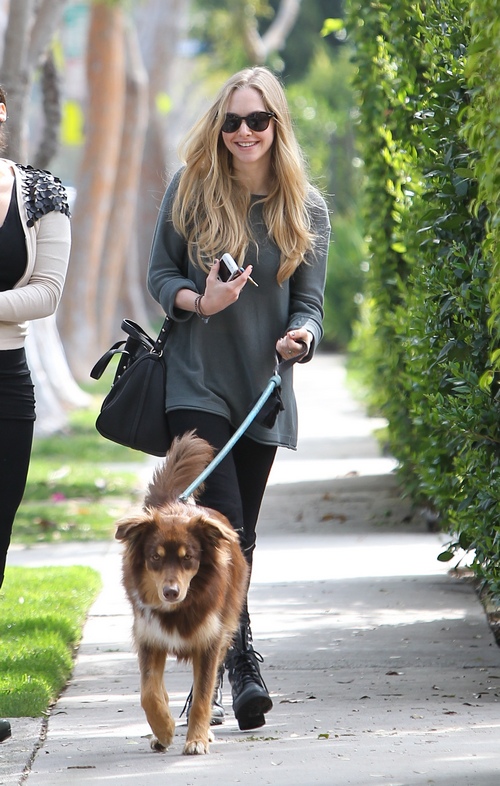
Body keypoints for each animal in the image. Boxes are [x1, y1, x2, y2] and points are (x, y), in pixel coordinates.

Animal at [117, 432, 250, 756]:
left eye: (188, 558)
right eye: (155, 557)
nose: (170, 591)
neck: (180, 608)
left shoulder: (210, 642)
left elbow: (202, 696)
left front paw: (196, 739)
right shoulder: (149, 637)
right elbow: (149, 693)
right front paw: (163, 729)